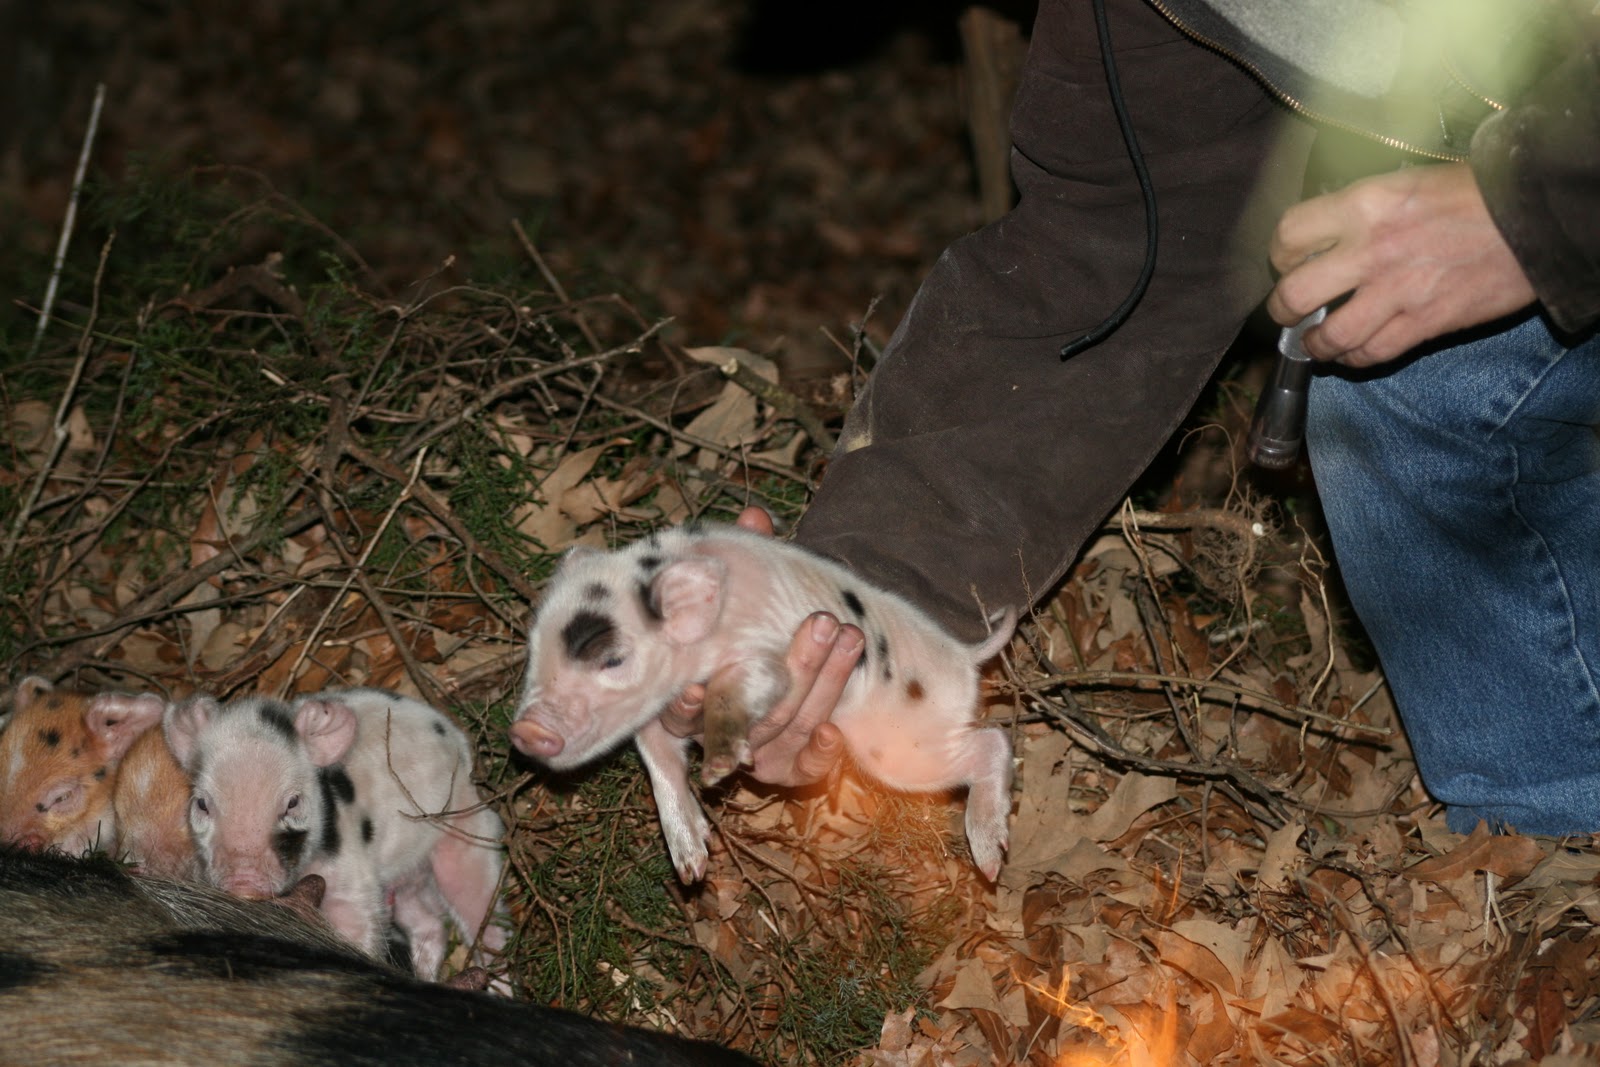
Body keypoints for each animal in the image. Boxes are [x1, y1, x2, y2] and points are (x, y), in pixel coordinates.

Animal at [163, 687, 508, 982]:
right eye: (202, 804)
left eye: (292, 802)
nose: (242, 882)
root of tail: (459, 743)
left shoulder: (350, 872)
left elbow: (356, 924)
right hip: (407, 883)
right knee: (429, 924)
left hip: (468, 834)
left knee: (486, 919)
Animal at [511, 523, 1015, 884]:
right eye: (533, 649)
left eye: (613, 660)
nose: (524, 732)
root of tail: (966, 655)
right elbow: (656, 754)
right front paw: (691, 866)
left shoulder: (768, 655)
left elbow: (740, 683)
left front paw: (718, 769)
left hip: (901, 745)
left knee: (993, 739)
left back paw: (990, 863)